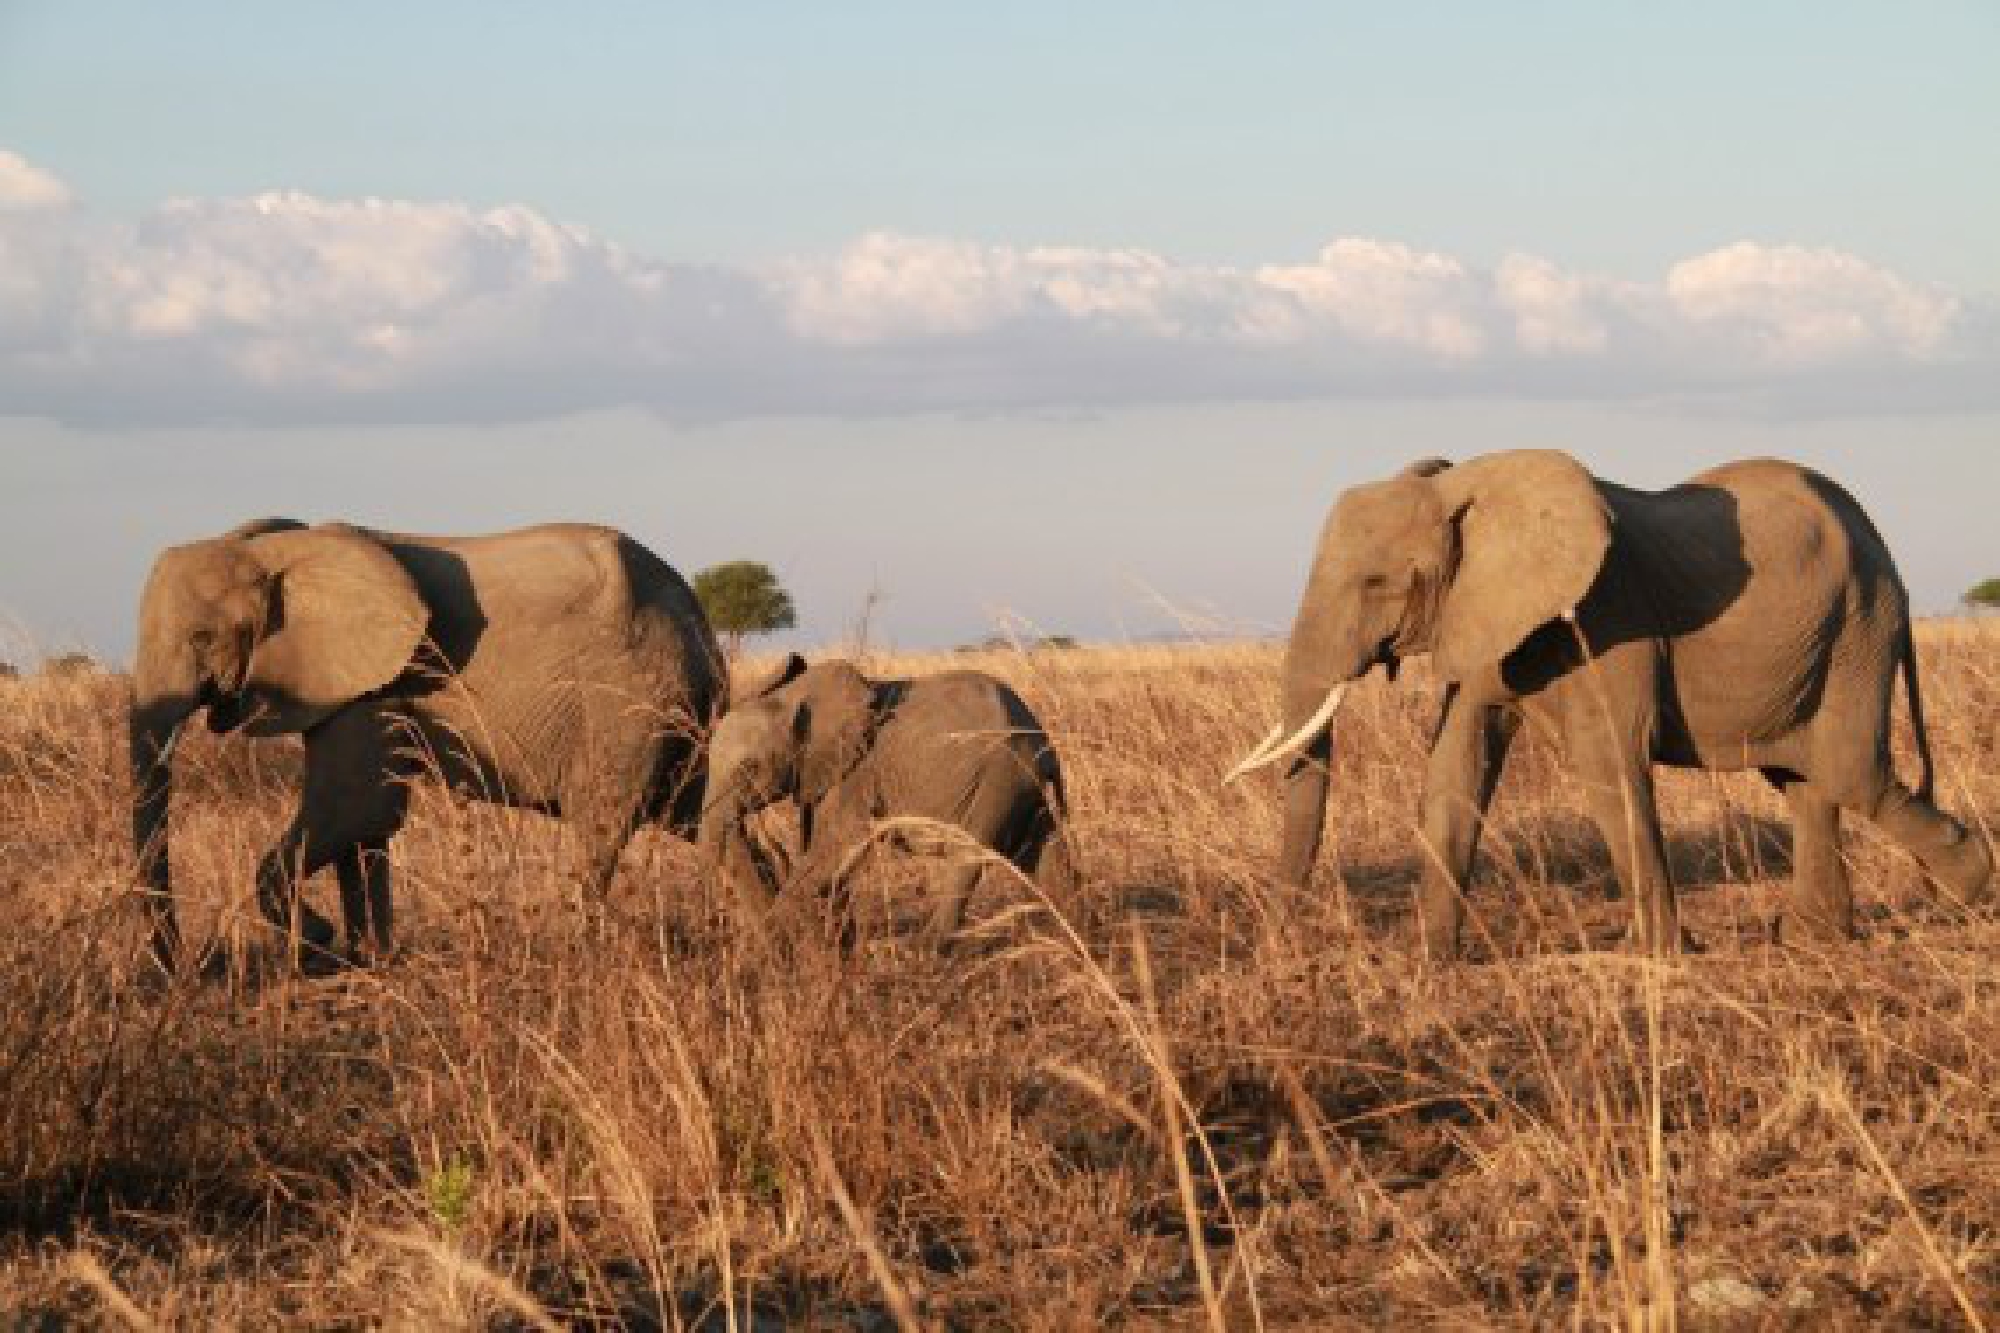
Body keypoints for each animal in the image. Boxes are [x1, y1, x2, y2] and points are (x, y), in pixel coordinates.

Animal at [131, 518, 726, 970]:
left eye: (202, 638)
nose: (190, 968)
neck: (279, 551)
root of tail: (695, 615)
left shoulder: (373, 689)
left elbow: (355, 808)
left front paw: (321, 946)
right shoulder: (353, 687)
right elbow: (366, 827)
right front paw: (367, 957)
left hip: (627, 704)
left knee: (601, 824)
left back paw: (581, 954)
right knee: (701, 812)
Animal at [699, 655, 1071, 952]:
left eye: (750, 768)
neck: (792, 696)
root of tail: (1044, 743)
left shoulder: (858, 772)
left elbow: (833, 847)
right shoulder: (822, 773)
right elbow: (824, 853)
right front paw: (835, 945)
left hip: (1000, 778)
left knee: (969, 857)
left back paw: (923, 953)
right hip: (1023, 788)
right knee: (1041, 849)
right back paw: (1062, 933)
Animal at [1228, 451, 1992, 958]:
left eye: (1377, 582)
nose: (1279, 943)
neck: (1469, 482)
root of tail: (1884, 548)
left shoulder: (1606, 616)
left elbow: (1607, 764)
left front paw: (1657, 956)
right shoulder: (1482, 619)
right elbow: (1455, 769)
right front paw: (1432, 961)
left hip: (1859, 628)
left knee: (1848, 773)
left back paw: (1965, 886)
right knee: (1805, 782)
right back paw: (1811, 938)